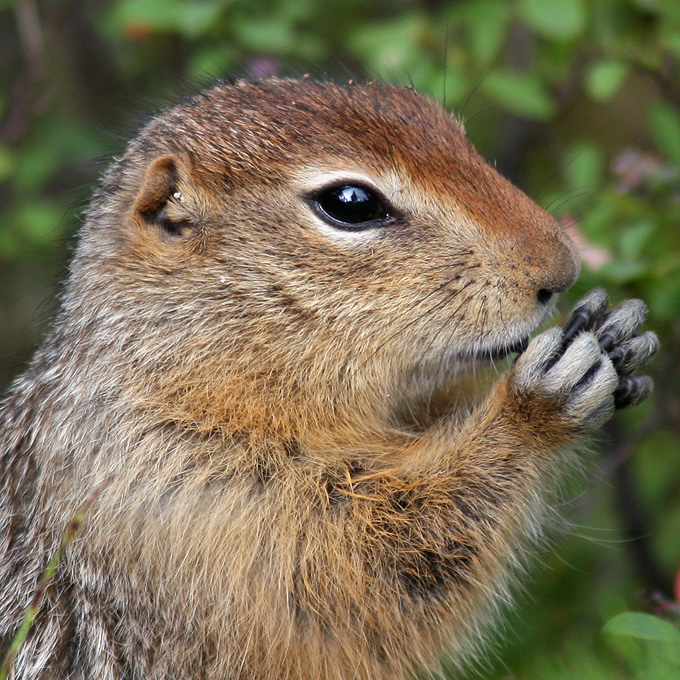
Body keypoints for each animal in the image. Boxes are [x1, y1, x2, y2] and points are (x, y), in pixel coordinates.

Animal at [0, 79, 660, 680]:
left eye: (455, 131)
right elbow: (374, 573)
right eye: (350, 202)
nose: (562, 268)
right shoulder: (183, 500)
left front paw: (613, 337)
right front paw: (536, 402)